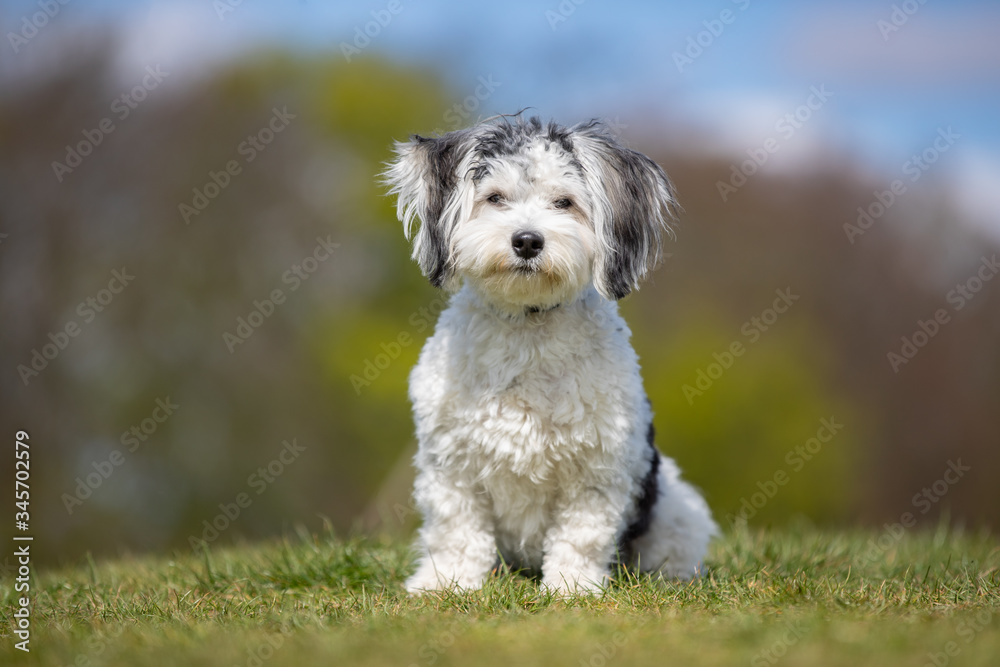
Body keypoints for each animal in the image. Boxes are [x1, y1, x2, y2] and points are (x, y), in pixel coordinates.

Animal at [384, 115, 720, 596]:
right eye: (495, 198)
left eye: (564, 202)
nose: (527, 240)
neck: (529, 326)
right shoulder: (451, 466)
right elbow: (456, 532)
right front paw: (446, 582)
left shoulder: (596, 470)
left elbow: (581, 535)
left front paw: (571, 587)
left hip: (675, 509)